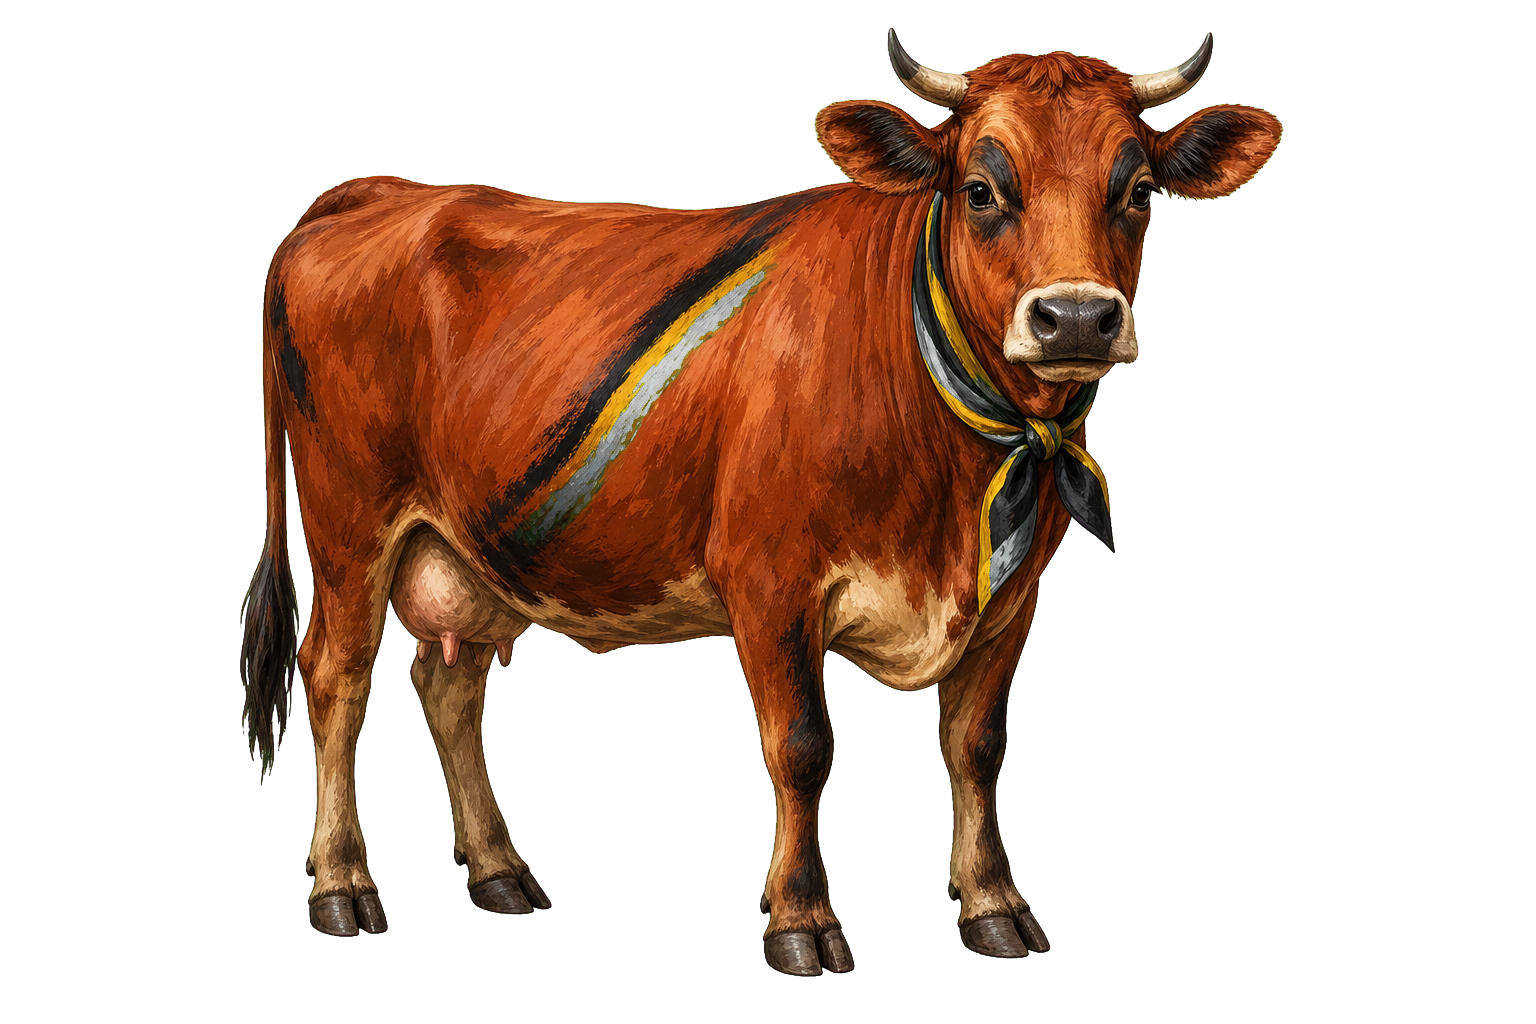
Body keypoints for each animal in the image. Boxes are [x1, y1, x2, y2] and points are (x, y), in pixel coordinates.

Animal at [241, 30, 1281, 974]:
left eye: (1138, 191)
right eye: (982, 190)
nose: (1076, 318)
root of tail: (385, 190)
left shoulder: (1014, 596)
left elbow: (977, 744)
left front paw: (995, 904)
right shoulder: (770, 579)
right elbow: (802, 746)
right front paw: (802, 922)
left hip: (467, 551)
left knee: (448, 687)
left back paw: (500, 869)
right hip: (348, 523)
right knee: (336, 676)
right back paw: (343, 886)